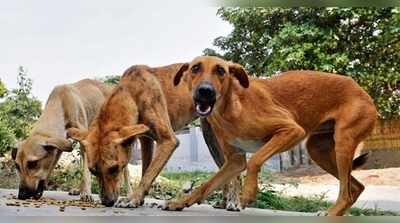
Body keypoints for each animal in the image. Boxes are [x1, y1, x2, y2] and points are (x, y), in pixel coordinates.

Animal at [164, 55, 376, 216]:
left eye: (221, 71)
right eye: (195, 68)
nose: (205, 91)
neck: (231, 107)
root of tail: (363, 92)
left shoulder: (291, 130)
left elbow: (255, 160)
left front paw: (248, 194)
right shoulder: (234, 160)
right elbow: (207, 185)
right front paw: (180, 202)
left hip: (342, 143)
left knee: (347, 192)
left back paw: (330, 212)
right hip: (318, 151)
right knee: (356, 187)